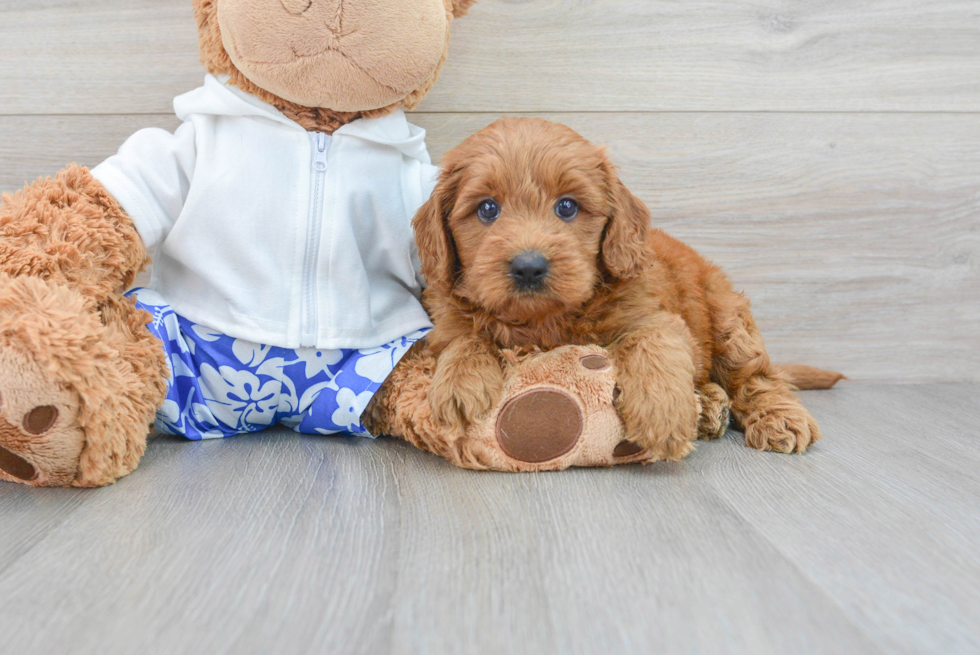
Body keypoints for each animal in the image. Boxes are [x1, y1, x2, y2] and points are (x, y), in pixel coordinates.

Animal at [418, 118, 824, 458]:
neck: (544, 321)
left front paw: (663, 413)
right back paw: (710, 406)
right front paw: (459, 382)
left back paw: (777, 418)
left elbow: (651, 343)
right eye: (487, 209)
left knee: (758, 378)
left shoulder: (657, 317)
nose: (529, 267)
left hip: (729, 319)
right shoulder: (446, 323)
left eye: (567, 207)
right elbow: (465, 337)